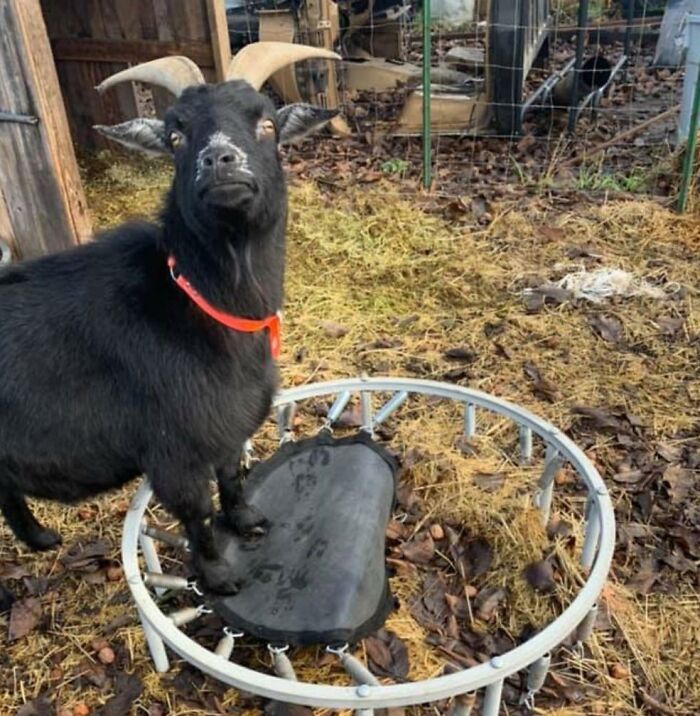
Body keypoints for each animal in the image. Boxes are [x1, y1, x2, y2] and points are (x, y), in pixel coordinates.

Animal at [0, 43, 340, 594]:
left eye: (266, 122)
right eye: (176, 136)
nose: (219, 160)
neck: (201, 302)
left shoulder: (226, 425)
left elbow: (232, 476)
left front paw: (248, 522)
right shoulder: (173, 448)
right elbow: (196, 511)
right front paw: (219, 576)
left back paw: (40, 538)